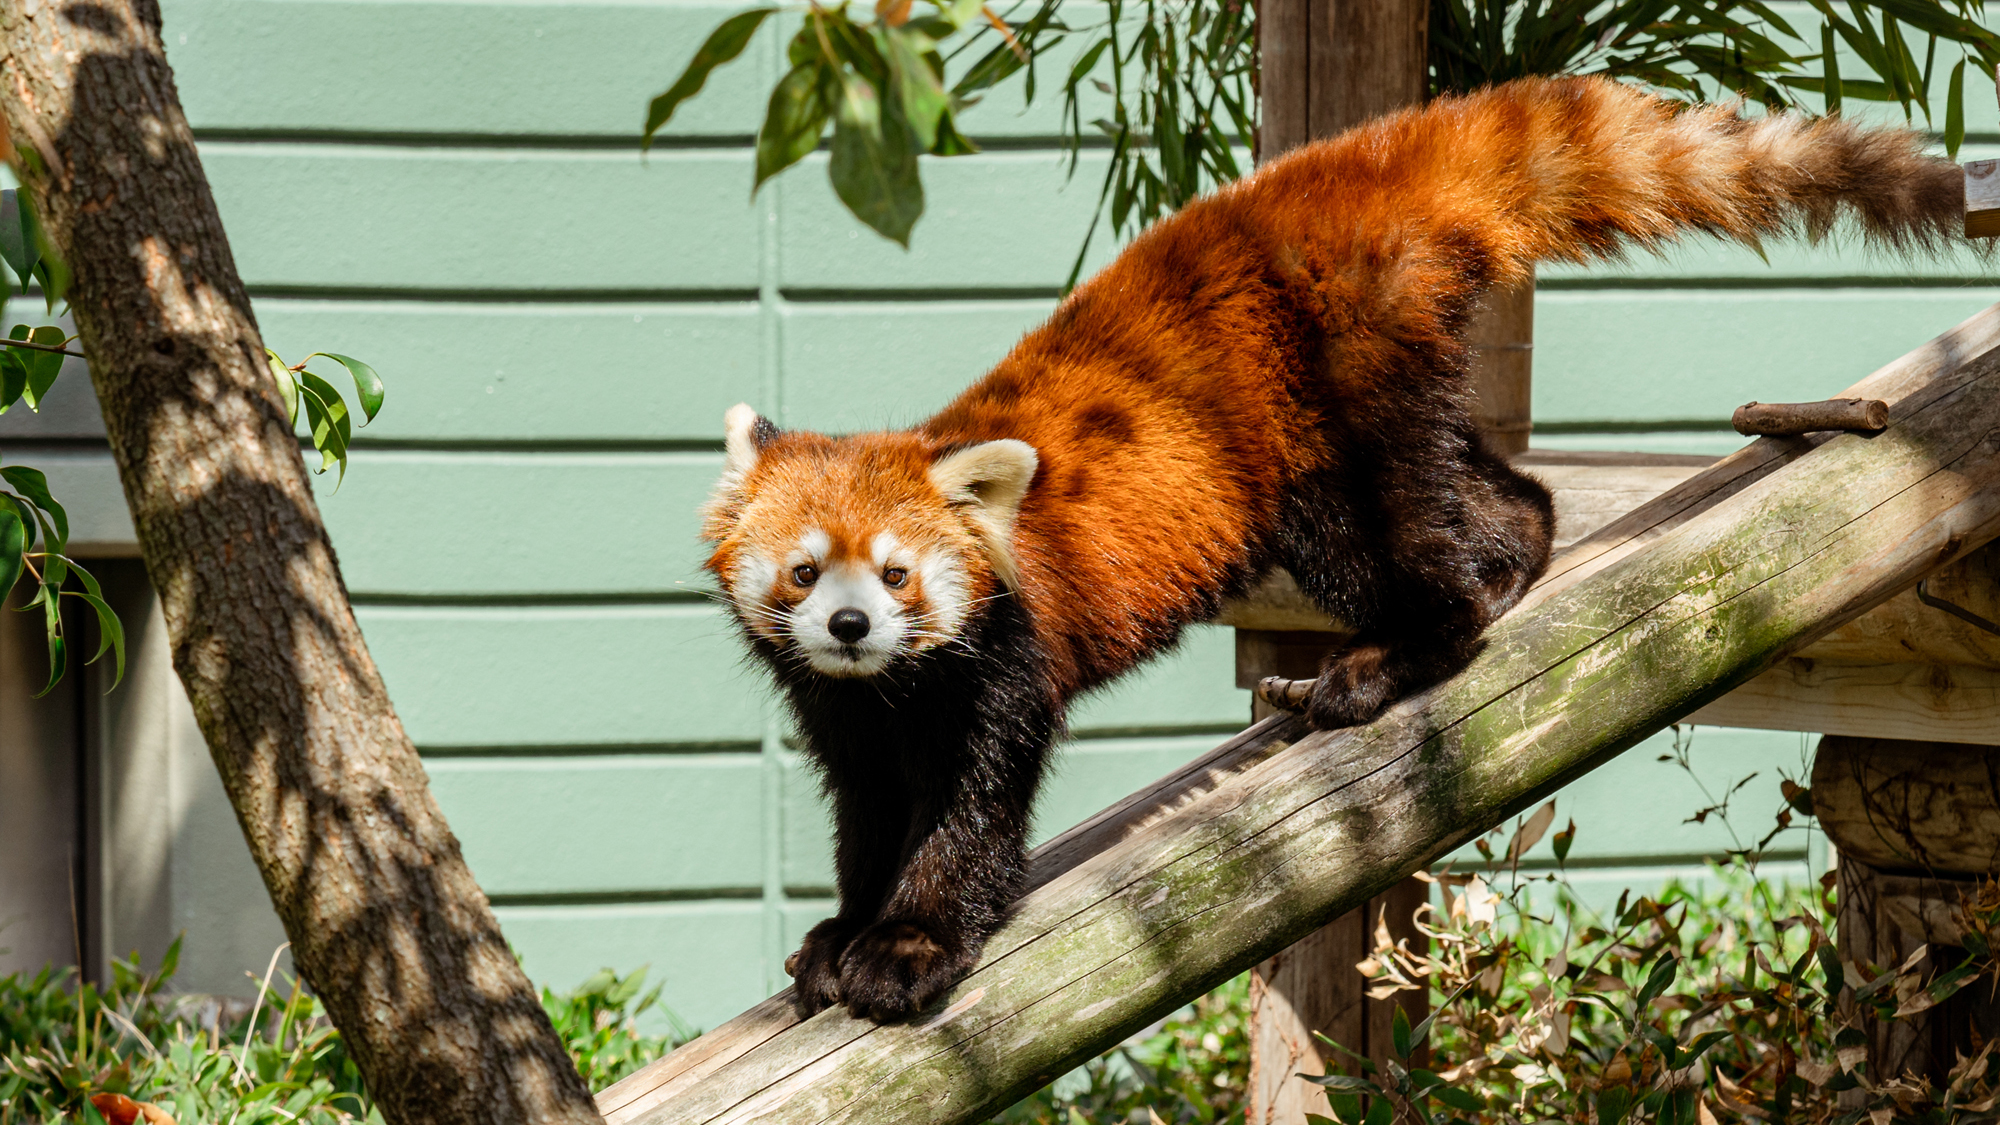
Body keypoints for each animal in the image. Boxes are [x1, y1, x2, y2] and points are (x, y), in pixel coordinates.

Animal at [696, 74, 1960, 1020]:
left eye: (897, 572)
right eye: (805, 571)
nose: (849, 626)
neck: (894, 684)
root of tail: (1343, 173)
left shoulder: (1001, 659)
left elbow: (971, 810)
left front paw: (906, 948)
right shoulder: (846, 713)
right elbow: (867, 811)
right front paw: (839, 931)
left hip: (1331, 405)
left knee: (1396, 545)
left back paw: (1389, 657)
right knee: (1493, 492)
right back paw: (1511, 556)